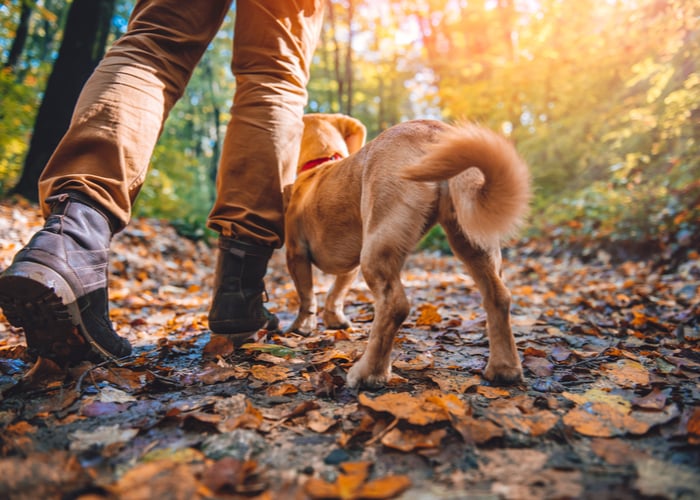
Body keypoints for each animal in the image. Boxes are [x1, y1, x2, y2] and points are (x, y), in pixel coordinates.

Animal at [284, 114, 532, 390]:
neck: (321, 164)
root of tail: (434, 130)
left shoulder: (296, 253)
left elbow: (307, 296)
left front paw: (301, 326)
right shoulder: (349, 267)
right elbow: (336, 292)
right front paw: (334, 319)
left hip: (377, 245)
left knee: (394, 305)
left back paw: (369, 373)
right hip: (472, 241)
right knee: (498, 297)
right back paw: (504, 368)